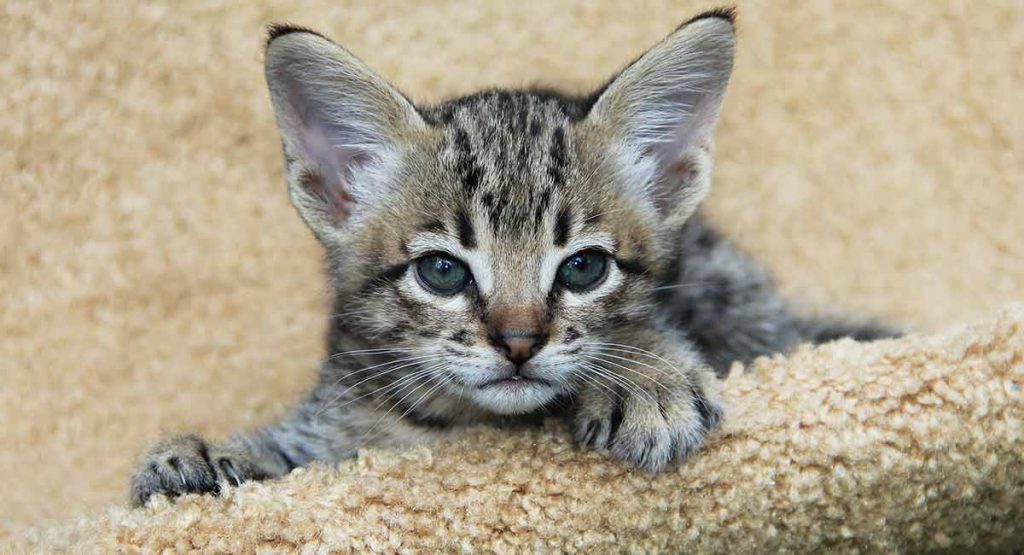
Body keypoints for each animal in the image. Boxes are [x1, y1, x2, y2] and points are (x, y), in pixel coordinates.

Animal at [130, 8, 897, 507]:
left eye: (584, 267)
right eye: (442, 271)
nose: (520, 342)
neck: (471, 423)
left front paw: (644, 378)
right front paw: (204, 458)